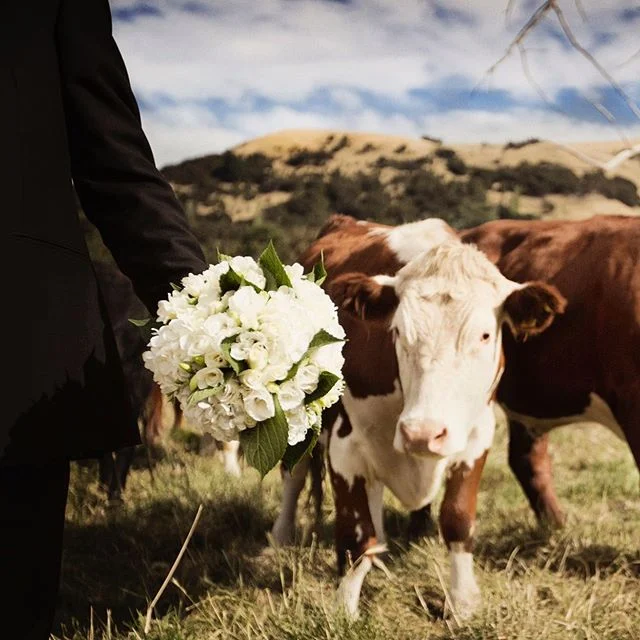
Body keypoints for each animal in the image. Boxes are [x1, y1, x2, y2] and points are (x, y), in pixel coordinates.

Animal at [272, 213, 565, 619]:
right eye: (397, 331)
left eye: (485, 335)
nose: (422, 434)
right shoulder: (346, 446)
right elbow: (354, 534)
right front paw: (345, 609)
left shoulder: (476, 435)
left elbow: (458, 520)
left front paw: (463, 603)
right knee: (295, 475)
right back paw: (282, 535)